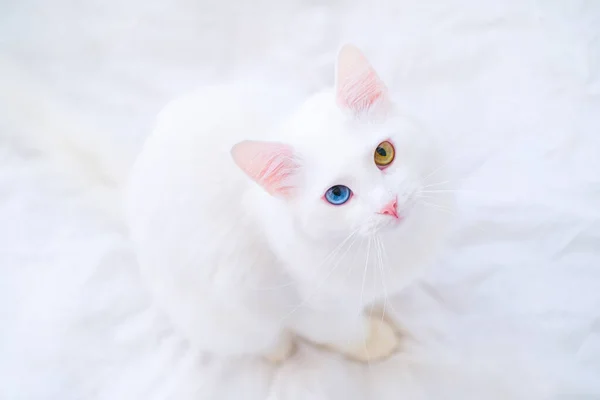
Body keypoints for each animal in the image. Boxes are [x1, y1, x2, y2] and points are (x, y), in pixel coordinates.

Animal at [127, 45, 454, 364]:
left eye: (383, 153)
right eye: (337, 194)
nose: (390, 205)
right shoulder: (308, 308)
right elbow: (344, 332)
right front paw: (376, 340)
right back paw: (277, 349)